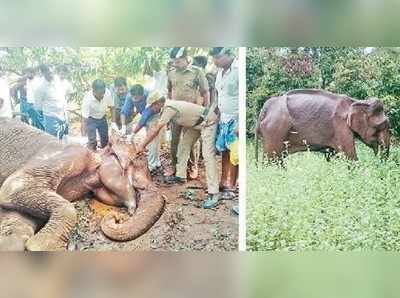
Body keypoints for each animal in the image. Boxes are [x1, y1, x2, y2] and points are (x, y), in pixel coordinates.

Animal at [256, 89, 390, 162]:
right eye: (381, 125)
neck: (356, 101)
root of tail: (264, 109)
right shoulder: (340, 126)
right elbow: (350, 157)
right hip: (275, 130)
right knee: (272, 160)